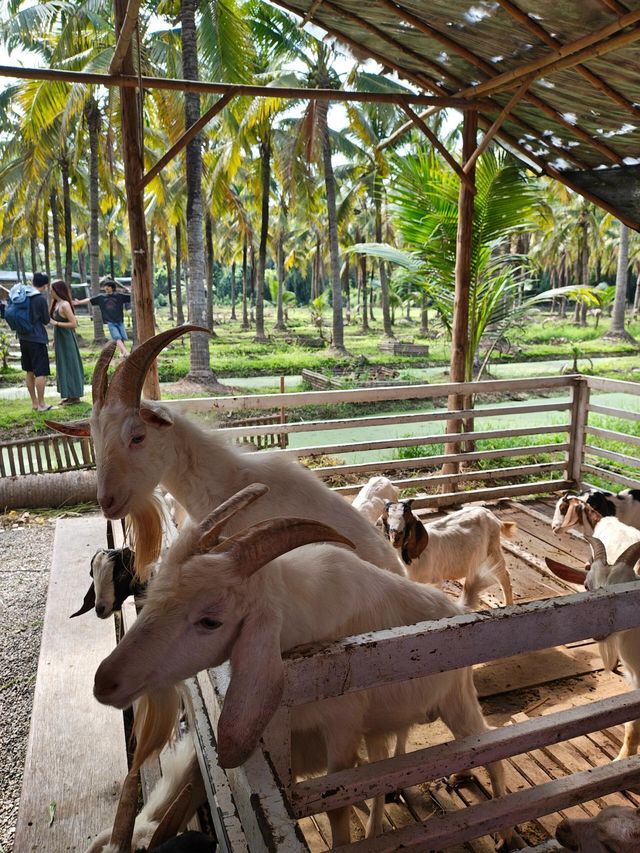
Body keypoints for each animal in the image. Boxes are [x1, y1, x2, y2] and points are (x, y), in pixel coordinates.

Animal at [378, 502, 516, 608]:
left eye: (407, 520)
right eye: (386, 520)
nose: (396, 537)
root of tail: (492, 516)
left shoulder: (434, 581)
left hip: (492, 551)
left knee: (504, 575)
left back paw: (508, 604)